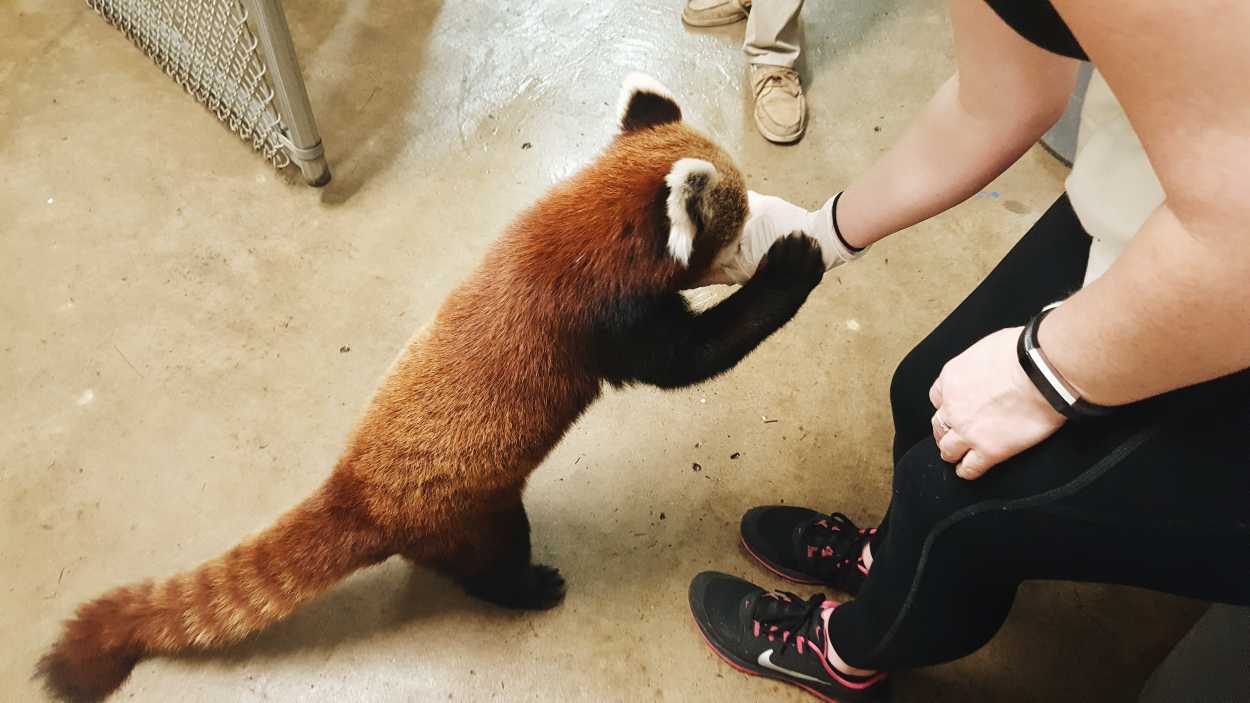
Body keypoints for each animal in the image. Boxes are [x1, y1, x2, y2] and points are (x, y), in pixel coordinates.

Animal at [39, 73, 825, 695]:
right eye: (738, 228)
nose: (768, 227)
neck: (590, 224)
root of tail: (355, 488)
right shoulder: (607, 321)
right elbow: (688, 359)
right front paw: (792, 265)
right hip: (471, 512)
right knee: (488, 559)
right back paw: (527, 586)